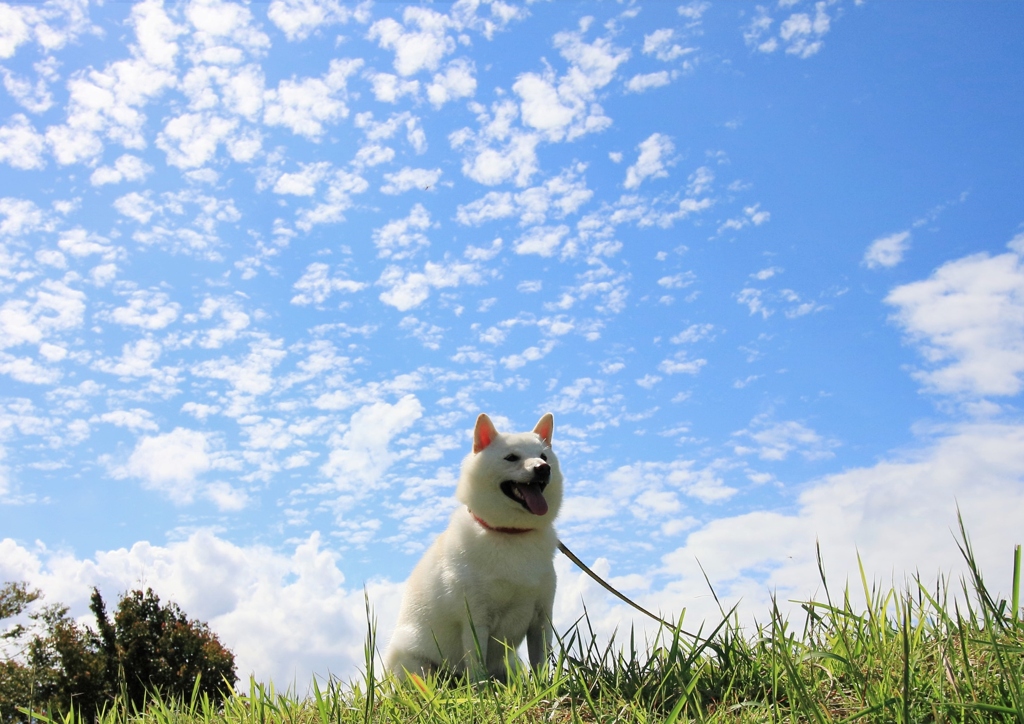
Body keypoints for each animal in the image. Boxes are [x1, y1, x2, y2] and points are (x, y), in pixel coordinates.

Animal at [385, 413, 565, 679]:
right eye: (511, 457)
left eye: (544, 456)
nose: (543, 468)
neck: (511, 533)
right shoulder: (476, 621)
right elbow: (478, 668)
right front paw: (482, 688)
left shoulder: (542, 619)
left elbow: (540, 662)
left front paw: (544, 684)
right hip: (414, 663)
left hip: (510, 664)